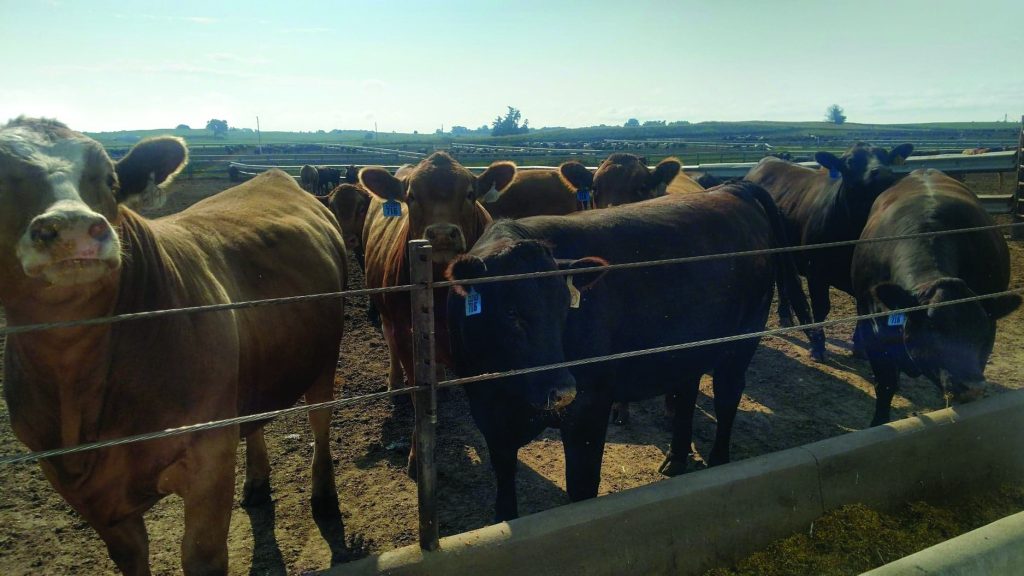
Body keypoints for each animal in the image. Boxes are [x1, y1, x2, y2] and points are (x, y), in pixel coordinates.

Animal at [0, 118, 347, 575]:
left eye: (110, 180)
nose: (72, 227)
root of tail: (277, 177)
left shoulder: (209, 457)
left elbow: (202, 556)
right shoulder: (76, 486)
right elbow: (131, 556)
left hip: (324, 359)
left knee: (319, 419)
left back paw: (324, 495)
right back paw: (256, 482)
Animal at [360, 151, 513, 474]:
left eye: (469, 194)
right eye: (411, 196)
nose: (442, 234)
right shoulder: (405, 332)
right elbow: (417, 393)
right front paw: (417, 457)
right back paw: (395, 381)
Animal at [446, 181, 811, 521]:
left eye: (566, 307)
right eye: (511, 312)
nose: (562, 390)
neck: (507, 393)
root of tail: (732, 188)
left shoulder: (590, 408)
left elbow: (582, 488)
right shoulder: (490, 419)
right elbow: (505, 496)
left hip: (741, 343)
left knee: (727, 397)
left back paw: (719, 461)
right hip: (686, 350)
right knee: (686, 394)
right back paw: (677, 458)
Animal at [745, 141, 914, 361]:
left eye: (886, 157)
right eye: (850, 161)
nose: (883, 172)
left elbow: (862, 311)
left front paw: (859, 347)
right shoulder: (816, 272)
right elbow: (821, 307)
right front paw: (818, 346)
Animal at [851, 169, 1020, 426]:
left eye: (983, 329)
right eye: (932, 328)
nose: (972, 385)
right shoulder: (873, 330)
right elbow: (886, 385)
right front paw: (879, 422)